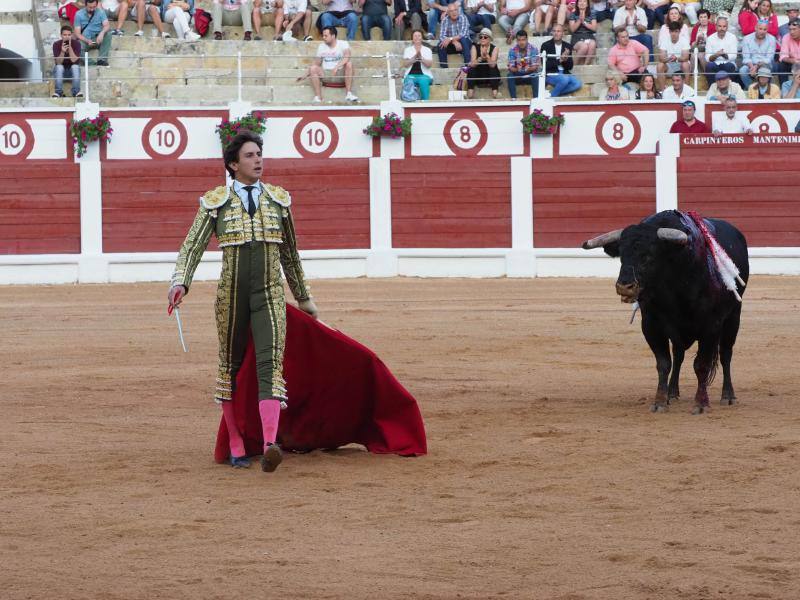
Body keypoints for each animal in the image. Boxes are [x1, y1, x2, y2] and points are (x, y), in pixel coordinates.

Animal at [584, 209, 748, 414]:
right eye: (621, 255)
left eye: (649, 255)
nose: (625, 287)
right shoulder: (651, 326)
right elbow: (663, 364)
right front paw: (660, 401)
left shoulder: (710, 326)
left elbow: (701, 365)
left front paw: (701, 404)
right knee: (678, 355)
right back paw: (672, 393)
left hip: (733, 317)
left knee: (726, 354)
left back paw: (728, 396)